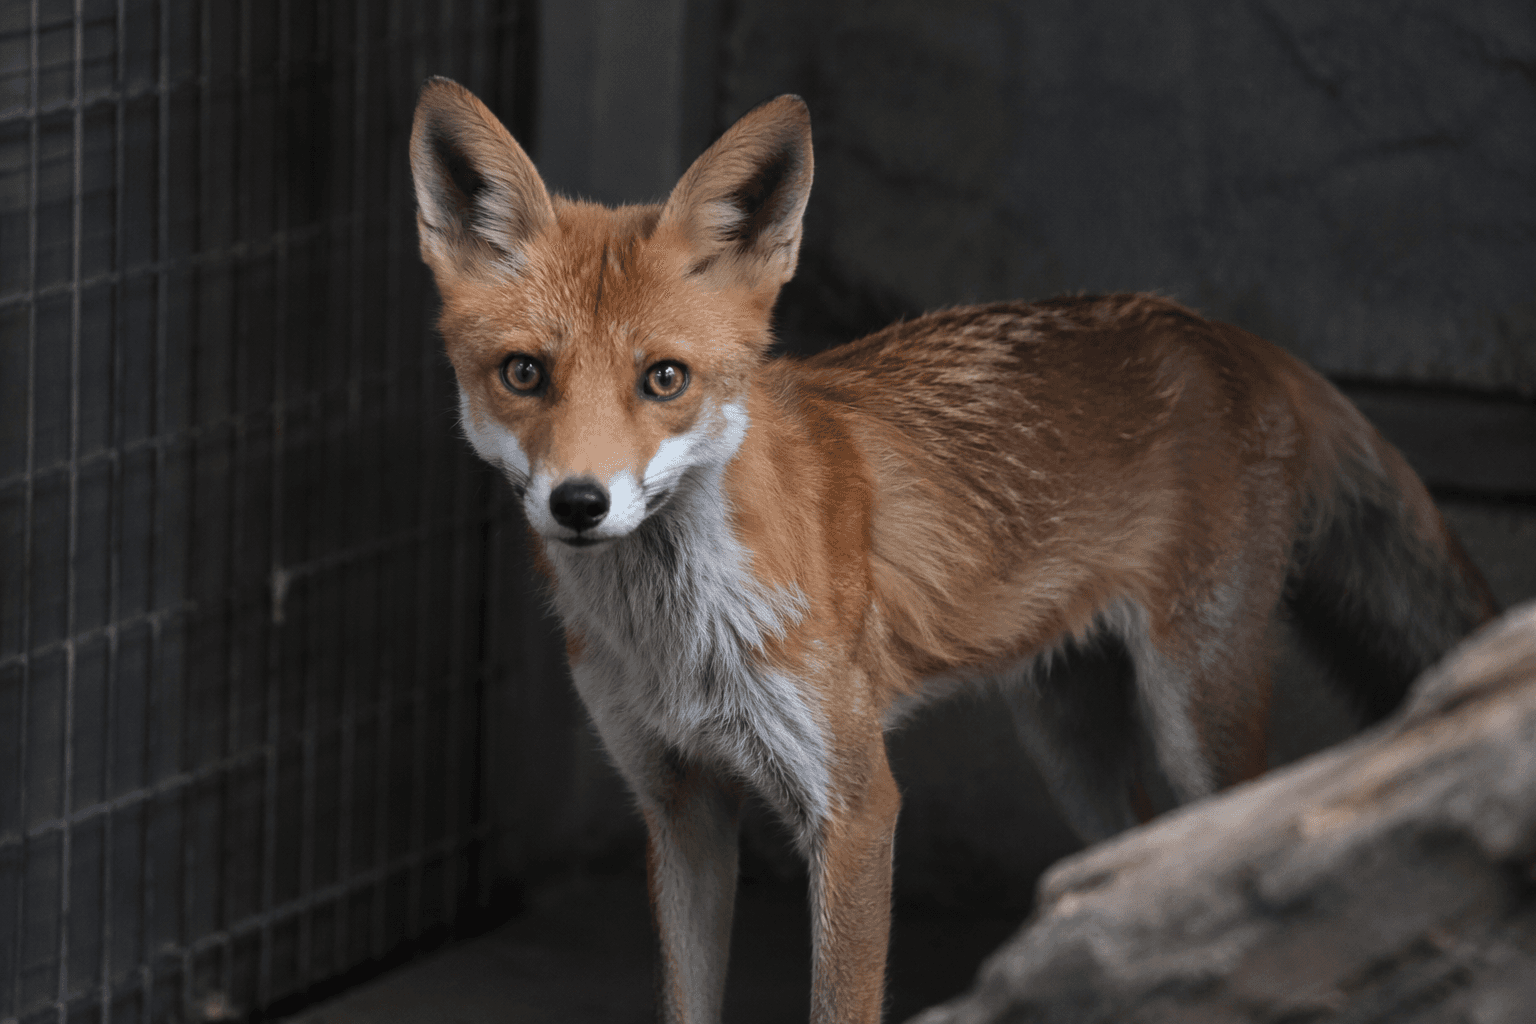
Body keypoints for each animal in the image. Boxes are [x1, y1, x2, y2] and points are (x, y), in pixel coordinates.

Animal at [408, 78, 1498, 1023]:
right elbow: (687, 1000)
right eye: (524, 373)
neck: (676, 638)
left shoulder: (856, 806)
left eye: (664, 378)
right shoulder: (679, 804)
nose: (579, 503)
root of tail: (1221, 332)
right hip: (1068, 737)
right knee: (1125, 877)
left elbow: (840, 1001)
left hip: (1196, 714)